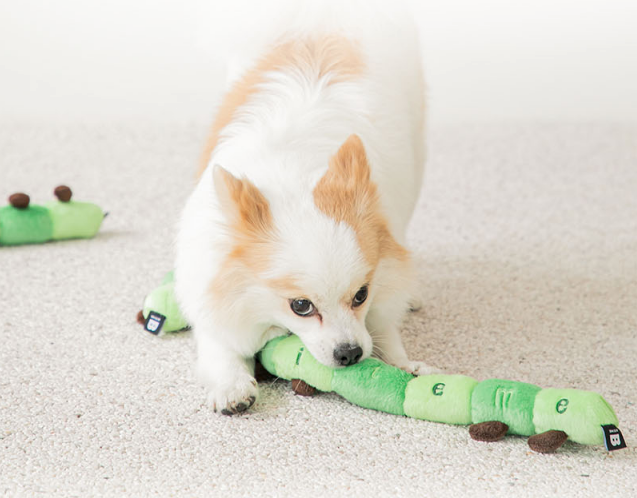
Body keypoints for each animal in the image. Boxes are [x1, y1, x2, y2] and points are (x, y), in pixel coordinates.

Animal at [176, 0, 430, 412]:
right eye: (301, 306)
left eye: (361, 295)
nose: (349, 352)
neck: (293, 175)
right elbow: (219, 348)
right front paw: (231, 386)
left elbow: (385, 324)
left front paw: (403, 364)